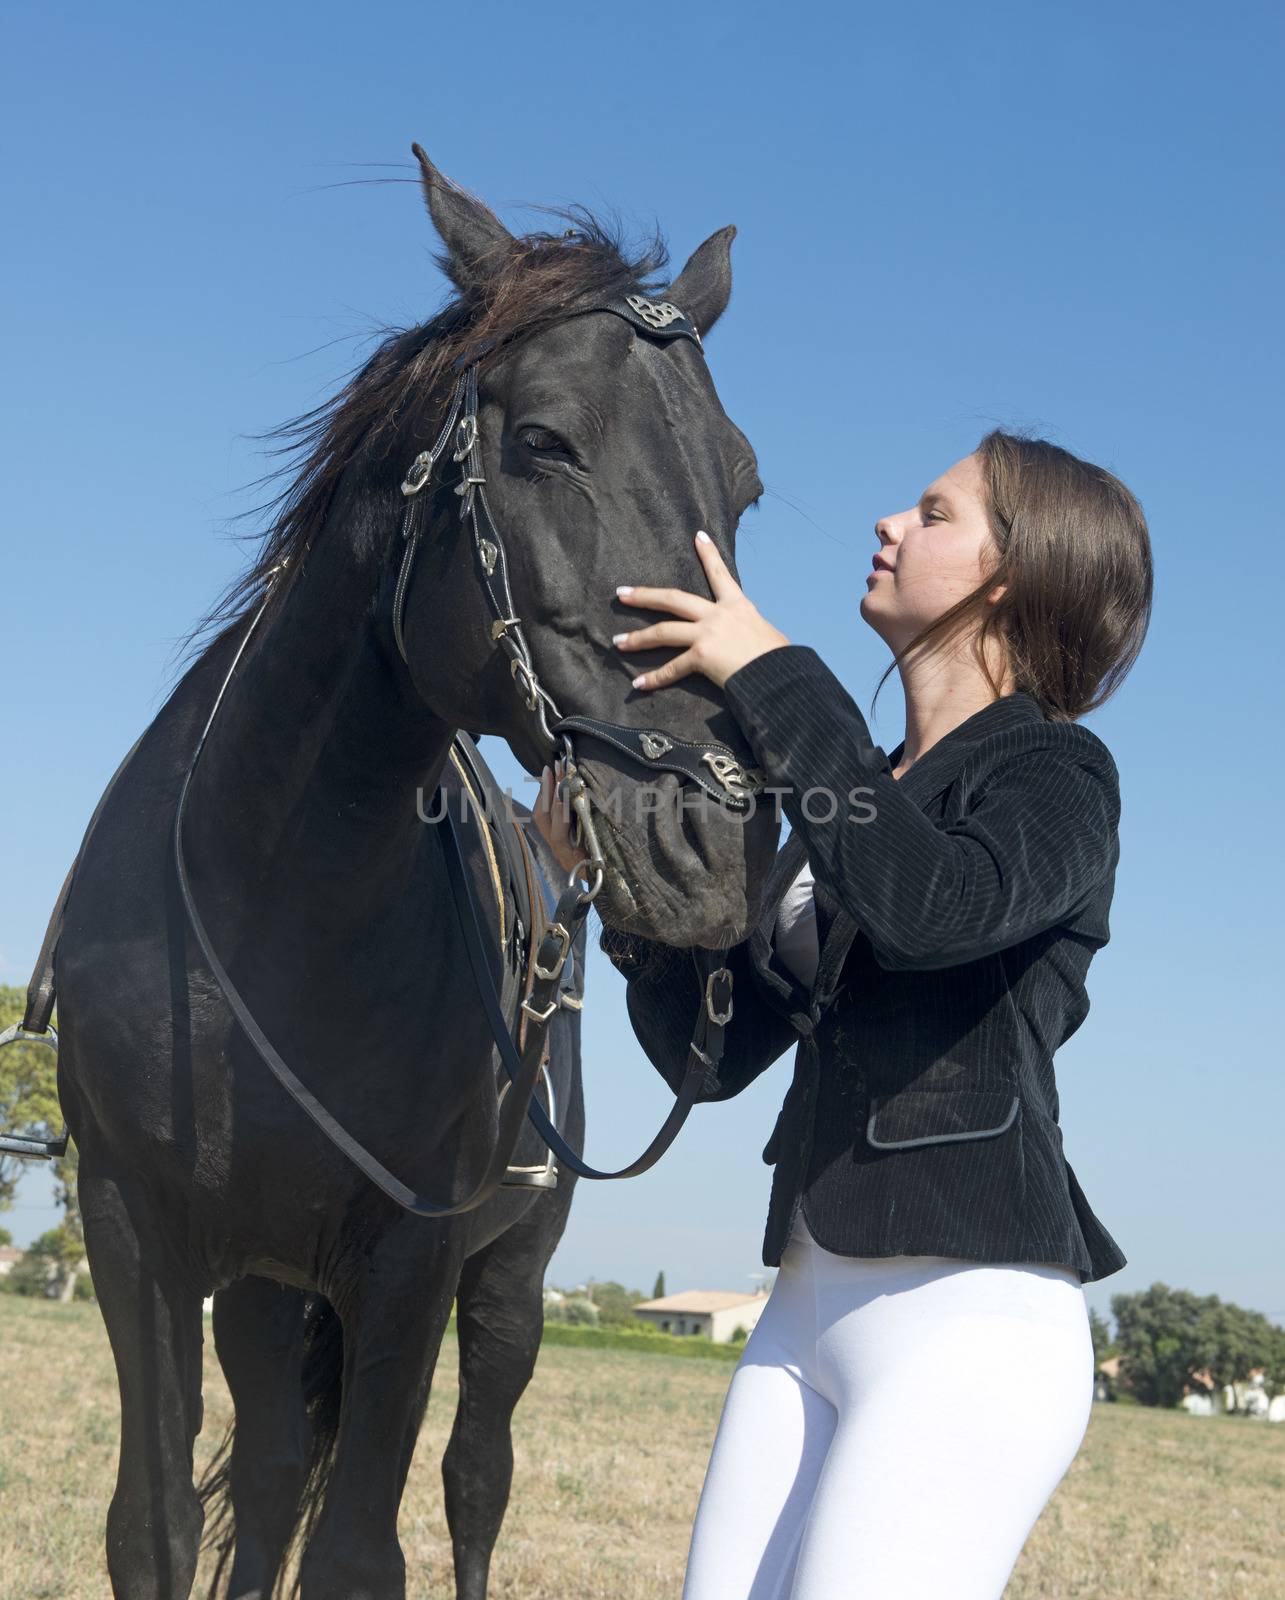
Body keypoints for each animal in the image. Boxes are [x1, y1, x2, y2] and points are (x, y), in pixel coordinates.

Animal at [52, 150, 774, 1600]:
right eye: (544, 440)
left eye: (743, 484)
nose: (709, 845)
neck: (274, 898)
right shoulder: (137, 1235)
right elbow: (159, 1529)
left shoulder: (412, 1258)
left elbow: (362, 1547)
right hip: (264, 1291)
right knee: (275, 1471)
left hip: (505, 1288)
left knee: (474, 1478)